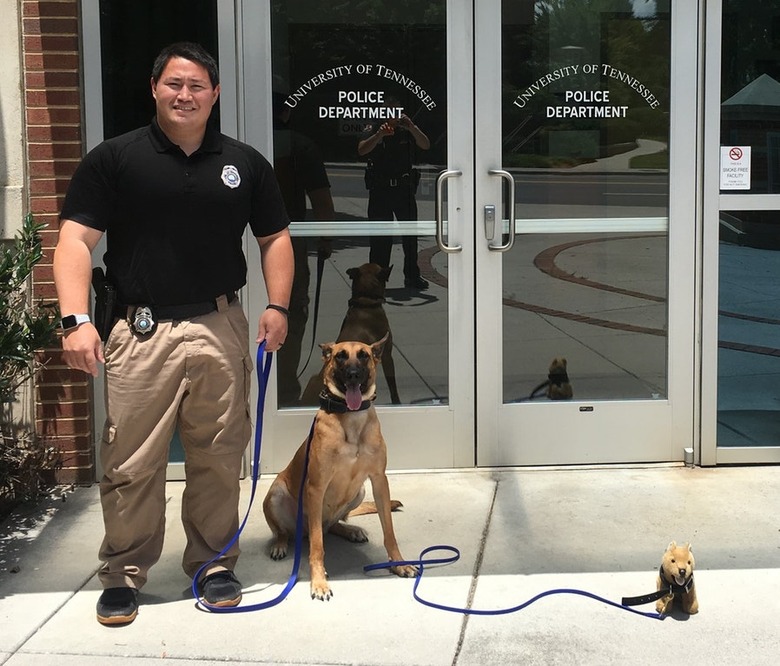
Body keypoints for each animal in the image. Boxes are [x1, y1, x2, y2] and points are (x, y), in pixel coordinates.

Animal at [262, 334, 418, 600]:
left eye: (364, 356)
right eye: (340, 356)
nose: (353, 374)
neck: (351, 418)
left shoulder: (379, 481)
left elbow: (389, 531)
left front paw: (398, 563)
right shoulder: (316, 487)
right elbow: (317, 547)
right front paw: (319, 582)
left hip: (359, 492)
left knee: (332, 525)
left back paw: (350, 530)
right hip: (276, 494)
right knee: (288, 532)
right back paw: (280, 545)